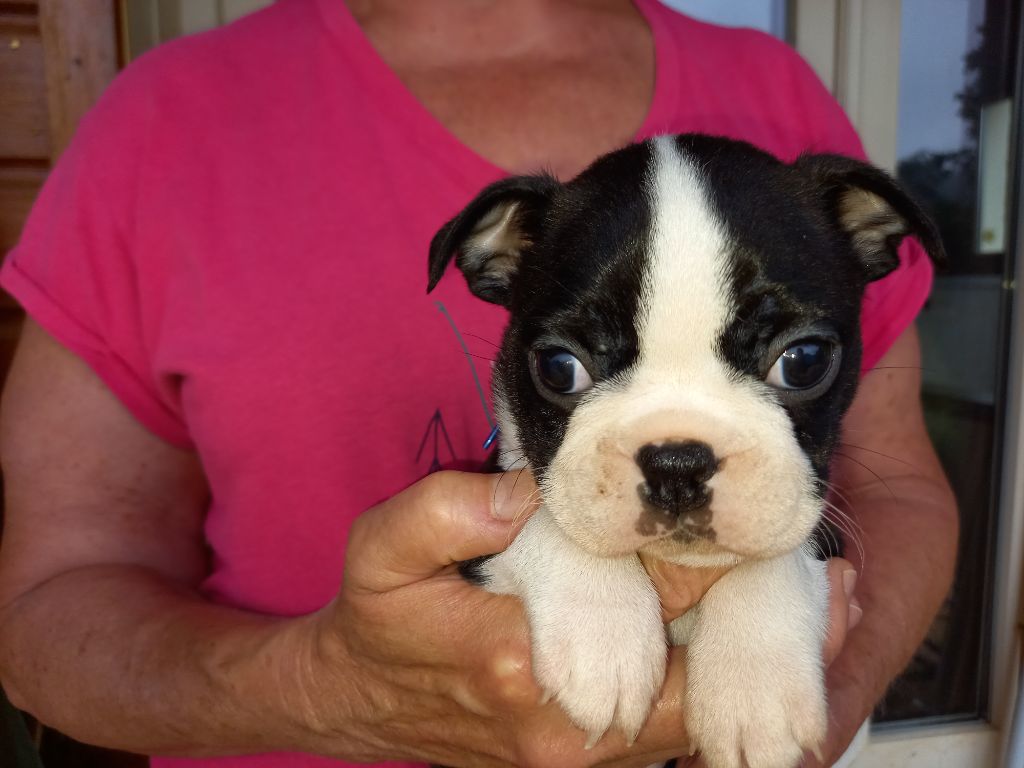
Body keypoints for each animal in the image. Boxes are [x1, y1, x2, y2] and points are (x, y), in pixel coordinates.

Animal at [423, 135, 942, 768]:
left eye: (805, 361)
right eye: (559, 368)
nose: (677, 462)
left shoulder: (818, 521)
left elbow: (776, 550)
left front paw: (755, 692)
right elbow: (543, 515)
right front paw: (603, 635)